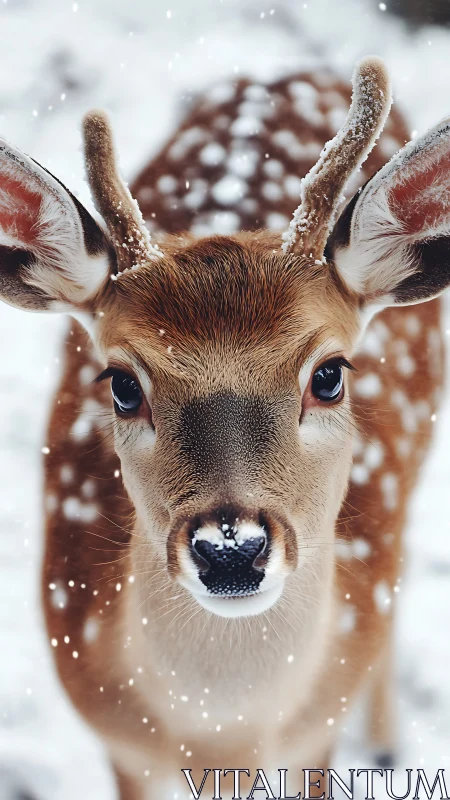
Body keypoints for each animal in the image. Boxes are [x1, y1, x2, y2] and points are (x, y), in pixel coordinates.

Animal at [0, 53, 447, 799]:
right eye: (122, 384)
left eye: (330, 373)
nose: (231, 549)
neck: (222, 740)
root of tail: (301, 67)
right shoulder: (120, 748)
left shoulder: (315, 740)